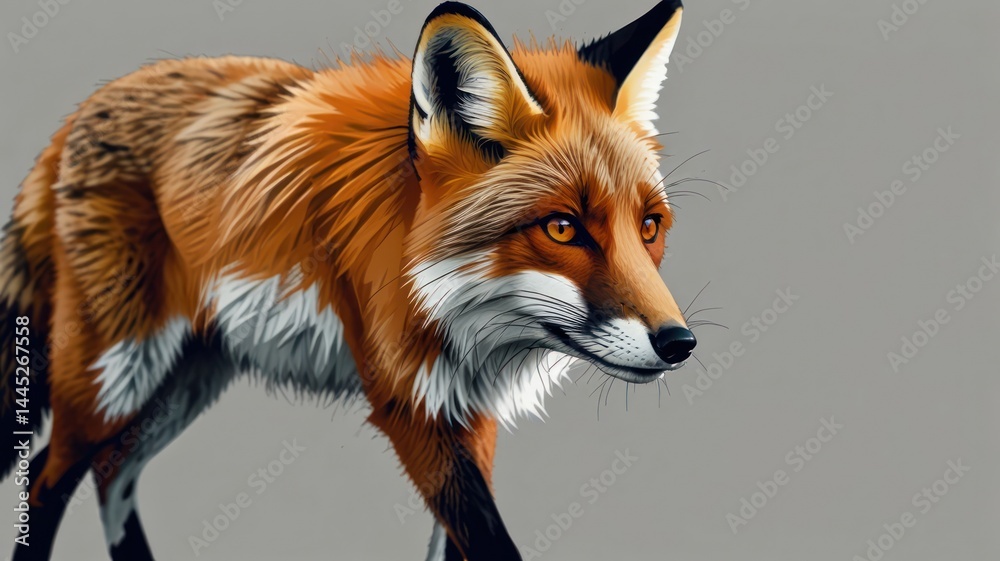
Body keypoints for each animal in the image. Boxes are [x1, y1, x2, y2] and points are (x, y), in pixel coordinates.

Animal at [0, 1, 696, 559]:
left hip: (184, 380)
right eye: (562, 228)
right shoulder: (411, 404)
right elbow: (490, 543)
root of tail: (81, 112)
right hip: (114, 377)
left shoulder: (468, 408)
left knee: (111, 474)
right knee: (44, 479)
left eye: (650, 226)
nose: (679, 344)